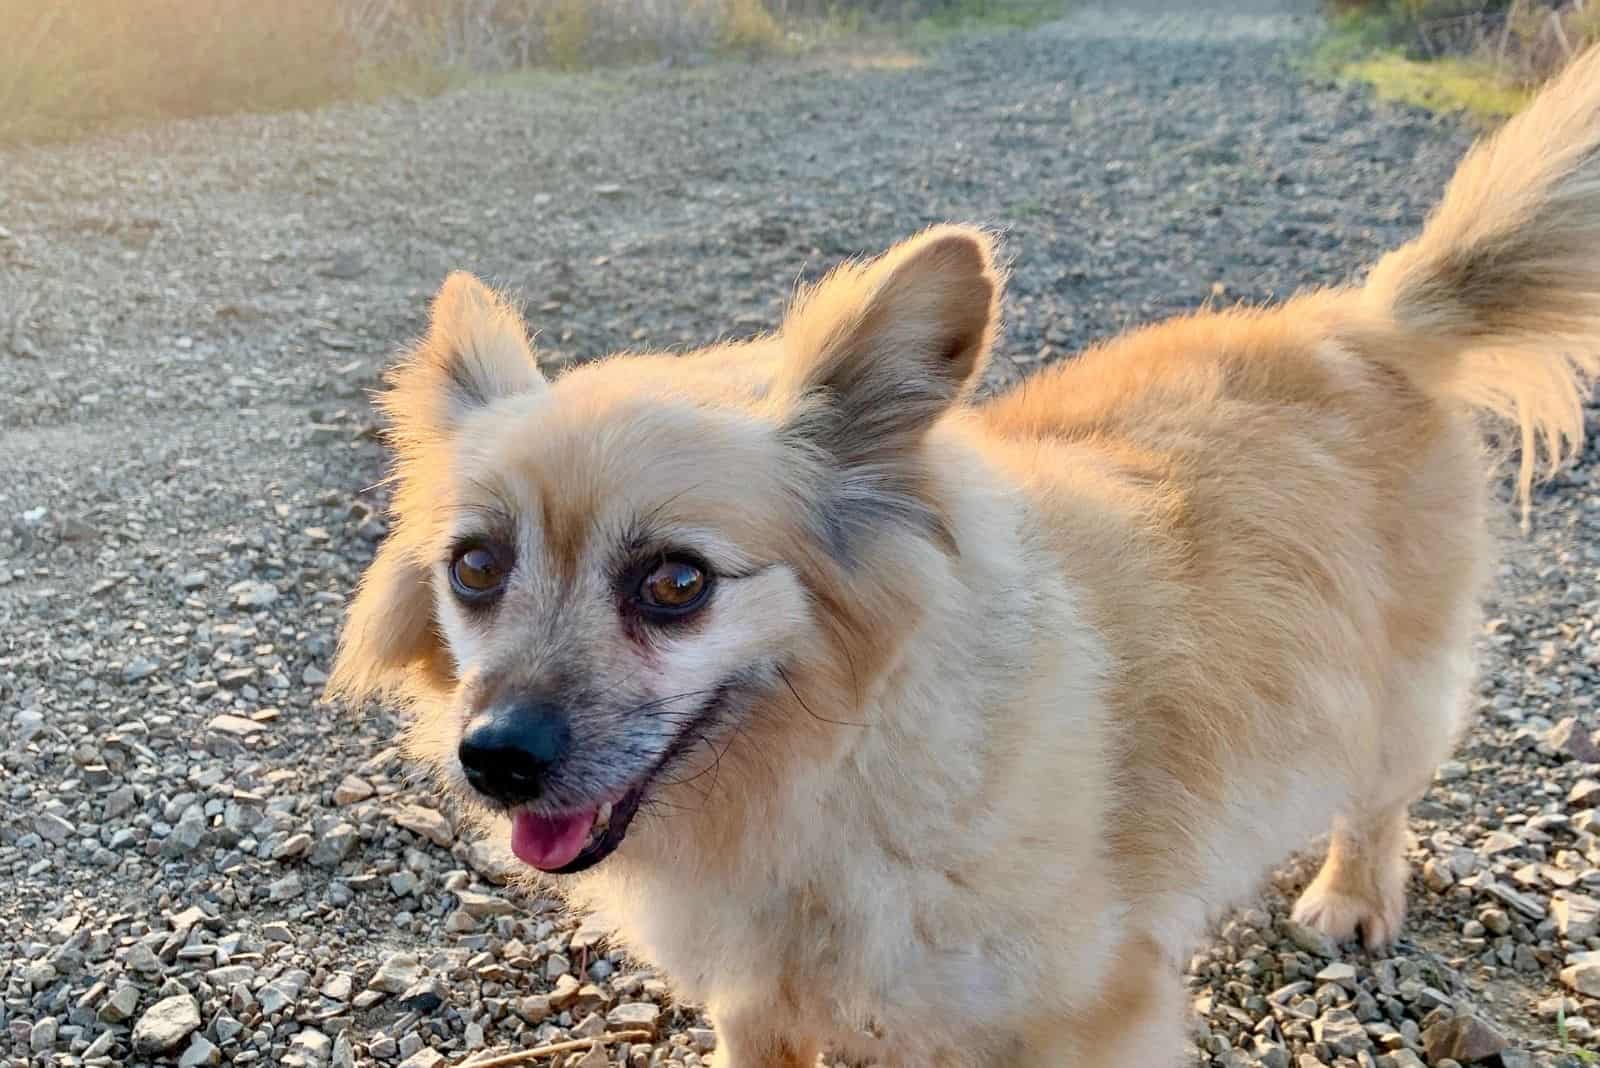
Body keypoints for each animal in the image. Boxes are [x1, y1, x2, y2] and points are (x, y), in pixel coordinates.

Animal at [331, 49, 1600, 1068]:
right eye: (476, 569)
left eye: (676, 583)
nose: (493, 760)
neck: (832, 764)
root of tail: (1365, 319)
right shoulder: (759, 1004)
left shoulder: (1087, 1018)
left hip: (1390, 693)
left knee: (1380, 798)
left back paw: (1350, 897)